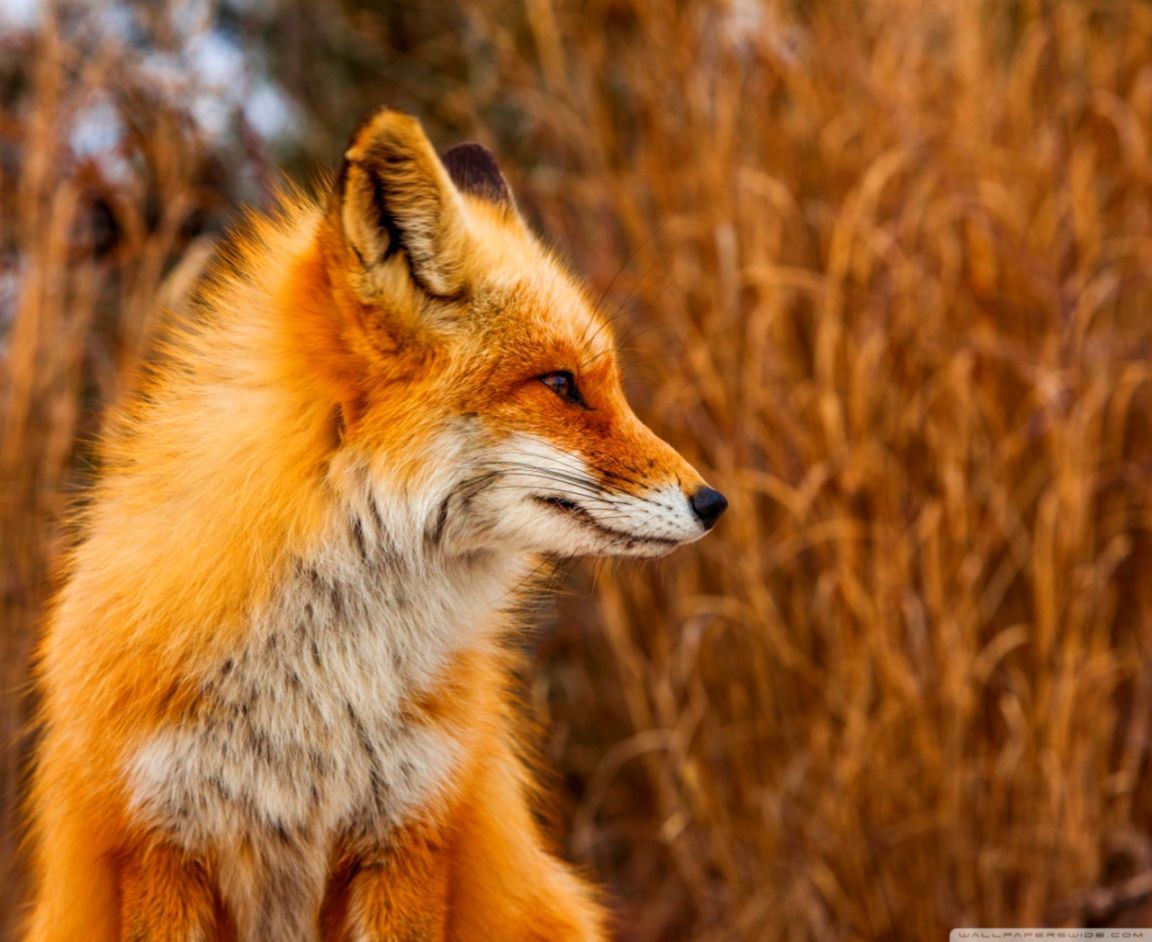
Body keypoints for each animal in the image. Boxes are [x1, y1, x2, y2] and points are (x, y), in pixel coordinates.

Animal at [24, 107, 727, 941]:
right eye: (561, 385)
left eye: (607, 384)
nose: (713, 502)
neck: (319, 679)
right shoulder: (157, 847)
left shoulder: (410, 835)